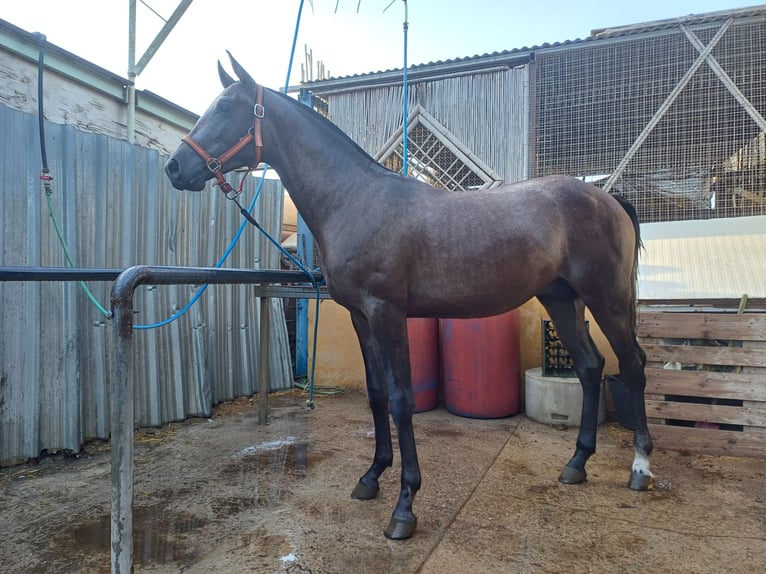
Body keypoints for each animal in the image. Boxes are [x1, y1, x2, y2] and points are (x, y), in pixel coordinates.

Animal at [164, 53, 656, 540]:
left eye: (226, 107)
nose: (174, 168)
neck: (353, 199)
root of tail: (608, 199)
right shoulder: (360, 316)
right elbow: (377, 393)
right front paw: (371, 477)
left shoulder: (387, 313)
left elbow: (402, 400)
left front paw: (404, 506)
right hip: (562, 299)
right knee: (590, 367)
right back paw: (577, 463)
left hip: (607, 299)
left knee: (632, 365)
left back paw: (640, 467)